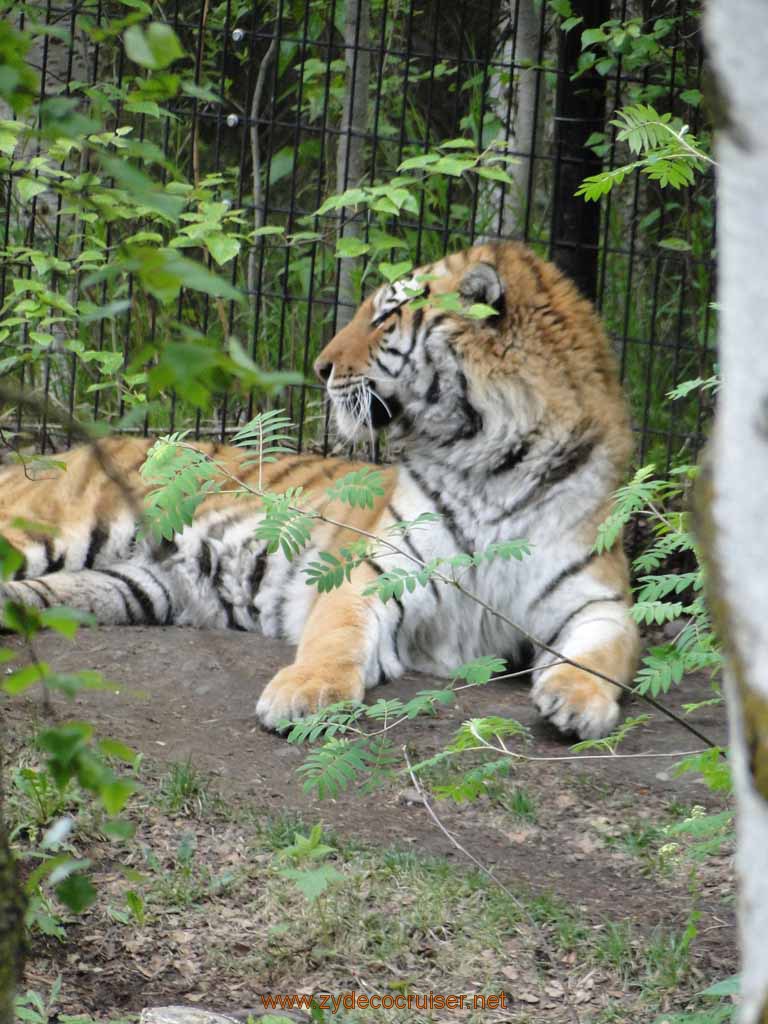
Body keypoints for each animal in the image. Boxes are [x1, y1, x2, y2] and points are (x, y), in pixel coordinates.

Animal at [0, 243, 638, 741]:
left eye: (387, 317)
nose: (319, 367)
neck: (493, 461)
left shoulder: (598, 600)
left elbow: (604, 653)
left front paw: (577, 700)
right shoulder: (373, 575)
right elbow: (335, 638)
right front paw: (302, 694)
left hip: (132, 585)